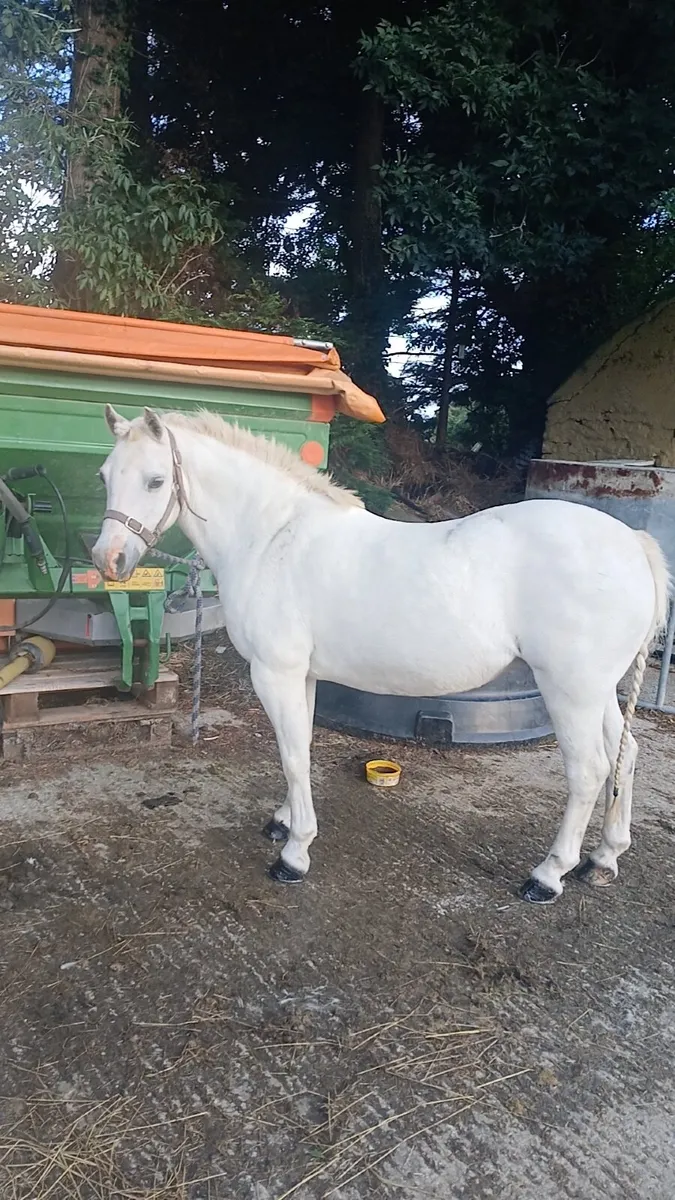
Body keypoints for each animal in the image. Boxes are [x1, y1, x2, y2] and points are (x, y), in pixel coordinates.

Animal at [92, 405, 670, 905]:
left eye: (155, 481)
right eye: (104, 476)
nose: (108, 560)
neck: (273, 538)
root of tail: (634, 542)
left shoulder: (275, 674)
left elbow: (291, 754)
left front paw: (294, 855)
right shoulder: (301, 676)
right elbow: (299, 748)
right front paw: (284, 821)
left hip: (569, 691)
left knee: (589, 771)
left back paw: (548, 876)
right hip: (598, 691)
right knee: (625, 755)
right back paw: (604, 859)